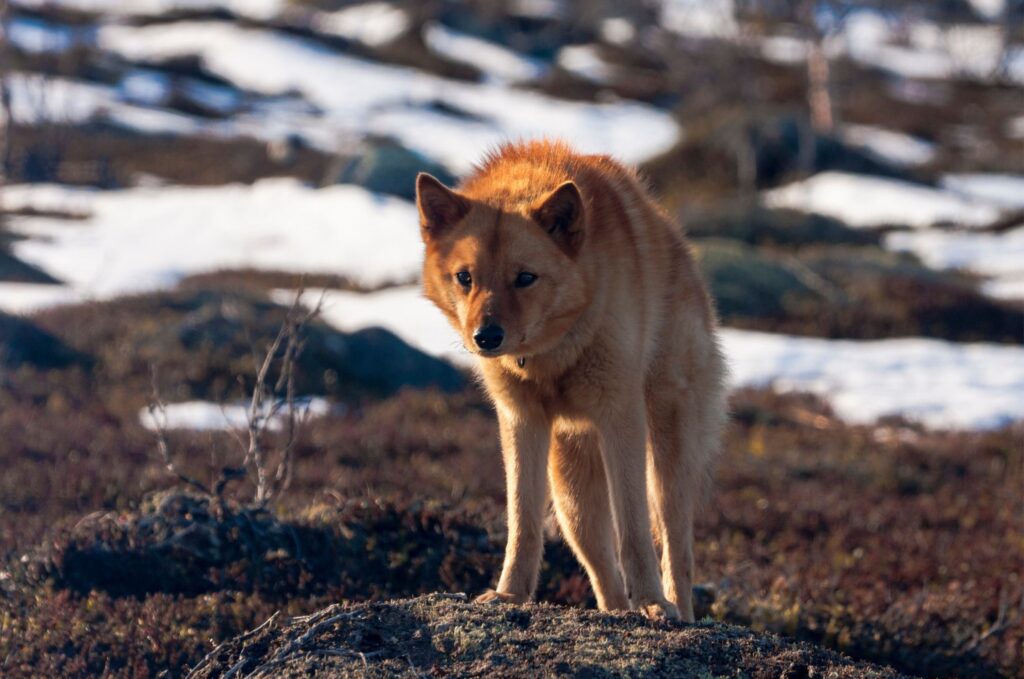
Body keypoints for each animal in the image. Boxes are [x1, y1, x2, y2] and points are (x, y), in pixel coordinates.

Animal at [411, 139, 724, 622]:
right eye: (465, 278)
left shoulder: (620, 418)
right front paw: (509, 595)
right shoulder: (521, 422)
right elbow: (522, 525)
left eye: (525, 277)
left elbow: (634, 533)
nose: (486, 337)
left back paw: (675, 611)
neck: (551, 357)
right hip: (572, 498)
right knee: (601, 569)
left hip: (665, 462)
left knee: (676, 550)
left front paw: (651, 602)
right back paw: (616, 613)